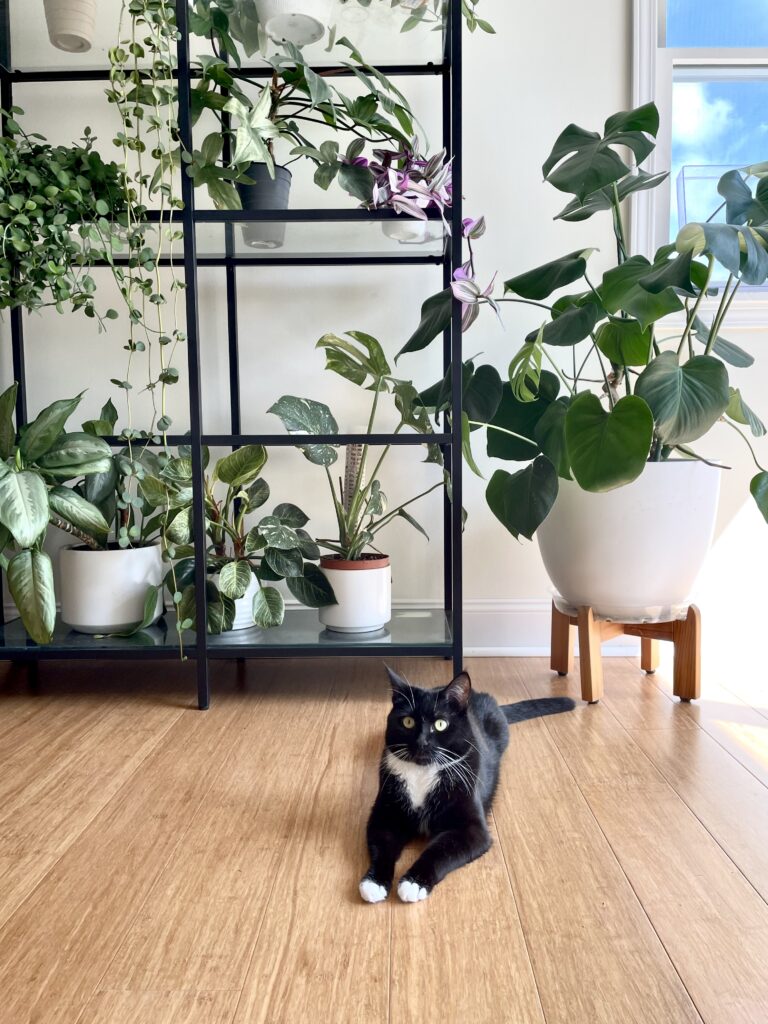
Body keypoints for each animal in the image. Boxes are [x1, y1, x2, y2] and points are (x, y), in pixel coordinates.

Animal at [362, 667, 577, 901]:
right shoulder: (385, 812)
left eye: (440, 724)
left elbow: (439, 850)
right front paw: (374, 882)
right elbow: (382, 843)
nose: (421, 742)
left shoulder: (472, 829)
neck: (422, 772)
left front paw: (413, 883)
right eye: (407, 722)